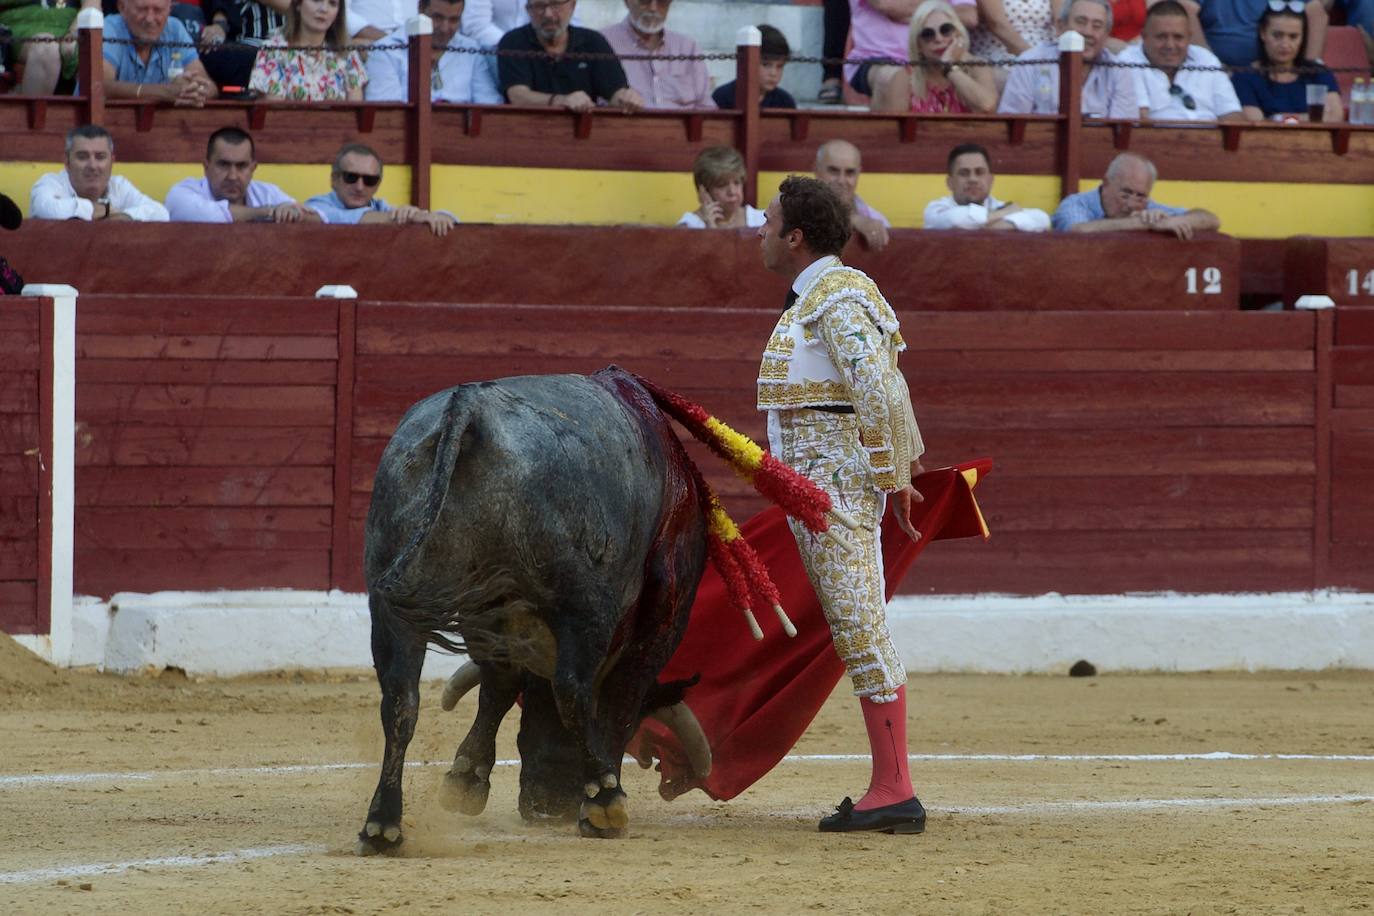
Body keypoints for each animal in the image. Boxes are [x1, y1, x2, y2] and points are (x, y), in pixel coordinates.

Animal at [354, 368, 719, 851]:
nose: (546, 805)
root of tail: (472, 409)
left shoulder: (494, 615)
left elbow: (499, 687)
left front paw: (465, 780)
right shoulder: (662, 615)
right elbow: (619, 701)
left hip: (396, 601)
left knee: (400, 700)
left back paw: (383, 824)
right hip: (581, 600)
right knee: (571, 688)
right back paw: (605, 803)